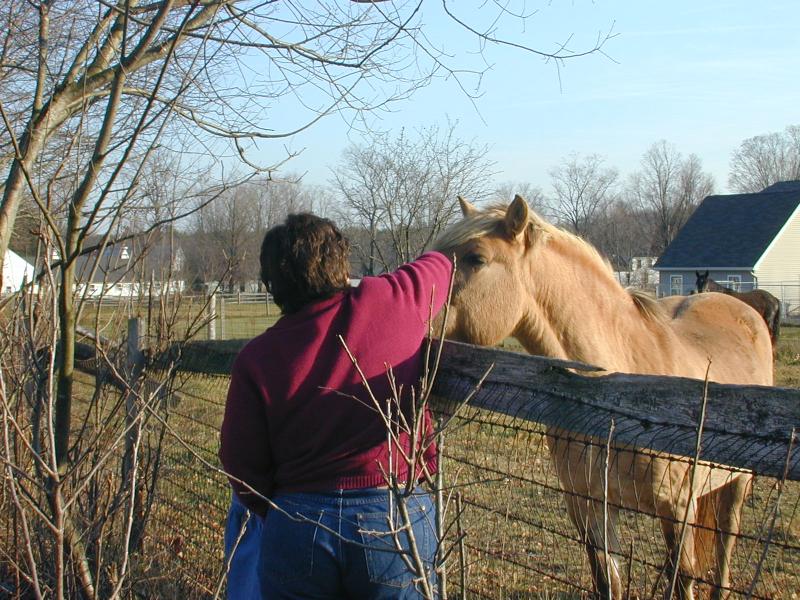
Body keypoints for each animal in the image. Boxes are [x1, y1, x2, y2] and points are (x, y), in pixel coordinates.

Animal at [432, 197, 776, 600]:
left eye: (476, 258)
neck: (610, 401)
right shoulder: (588, 505)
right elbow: (606, 580)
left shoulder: (677, 509)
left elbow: (682, 578)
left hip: (737, 484)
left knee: (724, 549)